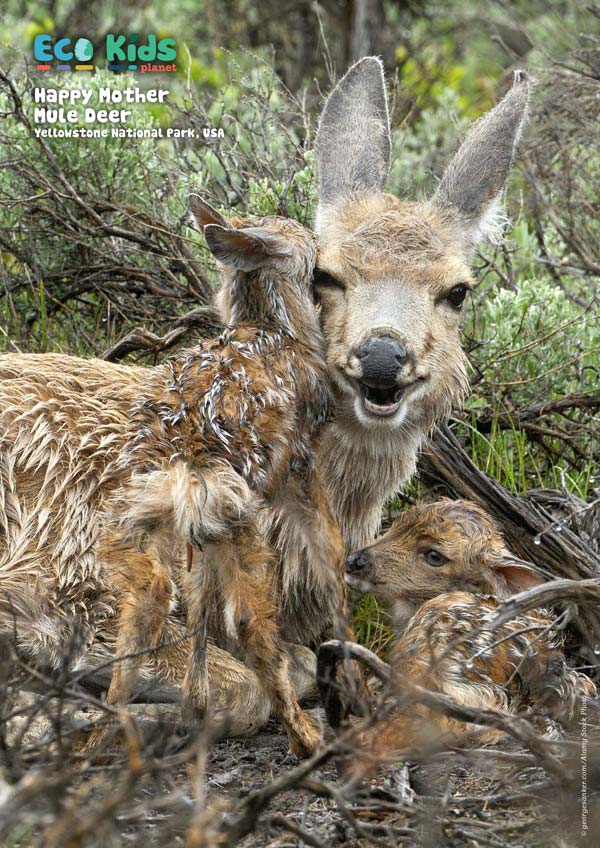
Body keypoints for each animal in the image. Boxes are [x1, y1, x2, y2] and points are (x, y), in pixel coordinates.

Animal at [0, 201, 343, 757]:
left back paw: (103, 731)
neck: (272, 326)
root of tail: (179, 464)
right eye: (310, 251)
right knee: (244, 623)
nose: (326, 252)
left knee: (151, 600)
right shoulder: (301, 466)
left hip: (133, 531)